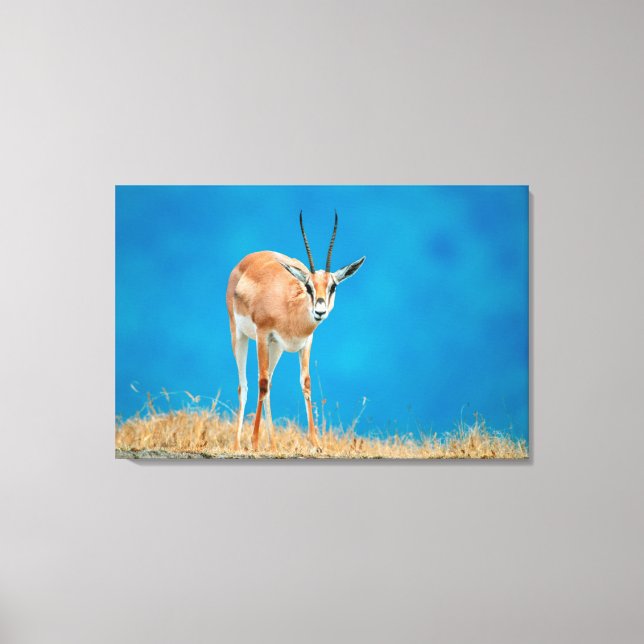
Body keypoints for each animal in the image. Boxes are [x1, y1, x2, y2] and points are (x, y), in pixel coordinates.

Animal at [226, 212, 365, 451]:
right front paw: (254, 441)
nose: (320, 311)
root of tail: (248, 259)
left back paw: (272, 444)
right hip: (240, 336)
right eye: (308, 286)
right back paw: (237, 444)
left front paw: (316, 443)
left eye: (333, 286)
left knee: (270, 384)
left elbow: (305, 383)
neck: (289, 308)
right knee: (245, 386)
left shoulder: (305, 341)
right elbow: (261, 383)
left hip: (276, 348)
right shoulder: (262, 335)